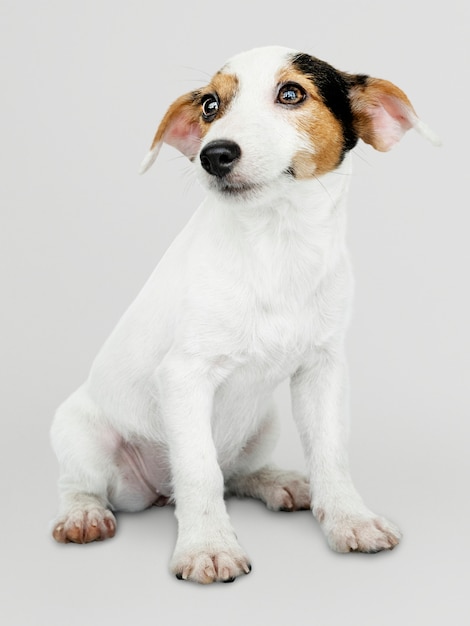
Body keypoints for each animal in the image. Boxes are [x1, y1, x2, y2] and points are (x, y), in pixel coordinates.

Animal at [49, 46, 438, 584]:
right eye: (210, 105)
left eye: (292, 93)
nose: (214, 155)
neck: (277, 245)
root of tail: (156, 491)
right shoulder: (184, 376)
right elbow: (199, 470)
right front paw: (208, 546)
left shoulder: (323, 369)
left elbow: (330, 453)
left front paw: (349, 519)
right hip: (79, 433)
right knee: (84, 484)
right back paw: (84, 514)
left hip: (263, 424)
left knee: (237, 475)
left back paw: (279, 482)